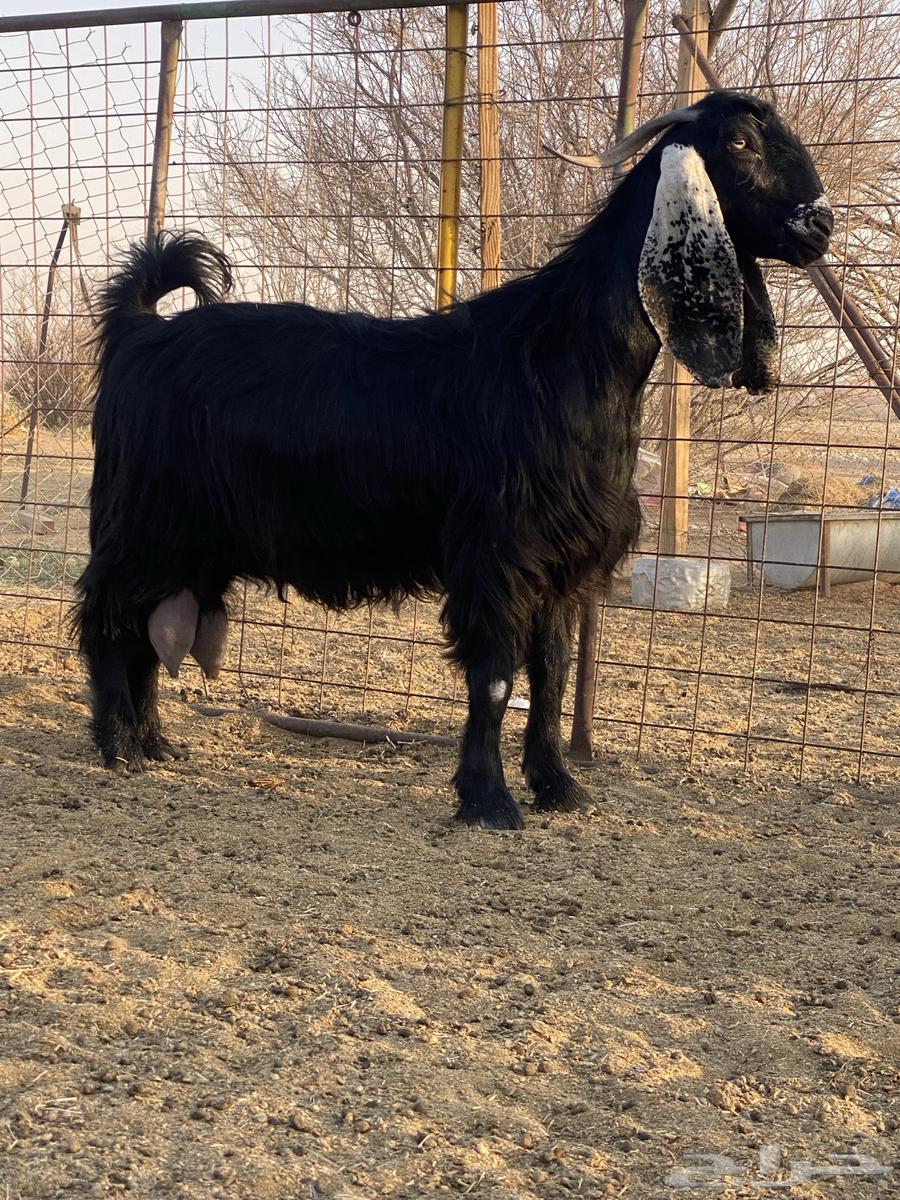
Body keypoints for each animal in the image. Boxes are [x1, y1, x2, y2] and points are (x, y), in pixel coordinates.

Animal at [73, 91, 832, 829]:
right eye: (739, 142)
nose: (819, 224)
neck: (565, 354)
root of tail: (138, 330)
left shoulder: (561, 562)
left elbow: (552, 674)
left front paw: (558, 788)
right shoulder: (498, 551)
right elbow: (494, 676)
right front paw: (488, 801)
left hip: (191, 542)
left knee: (147, 627)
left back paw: (155, 742)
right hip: (143, 522)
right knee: (107, 616)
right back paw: (118, 746)